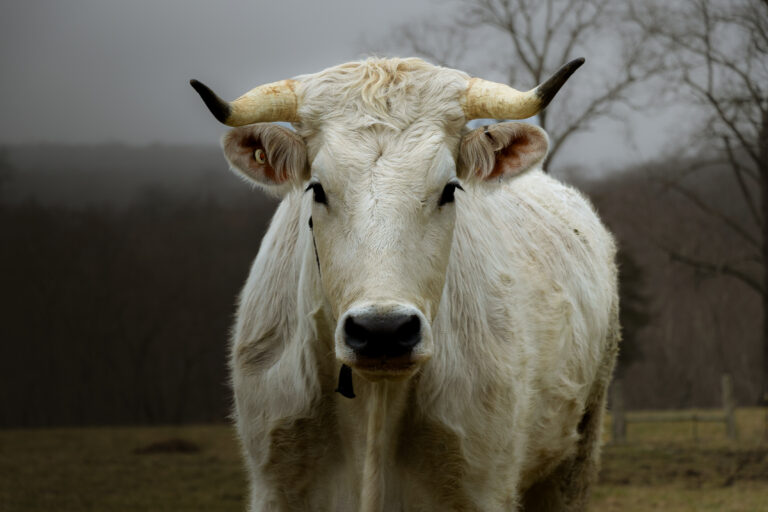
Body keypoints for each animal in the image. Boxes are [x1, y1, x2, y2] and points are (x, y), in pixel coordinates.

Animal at [190, 57, 619, 512]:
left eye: (449, 189)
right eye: (317, 189)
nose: (383, 330)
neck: (375, 403)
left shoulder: (484, 487)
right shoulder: (275, 486)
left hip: (574, 460)